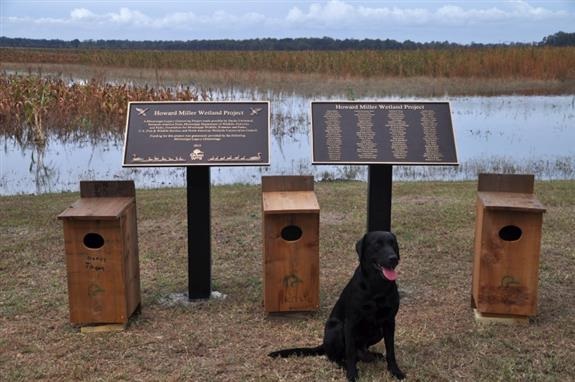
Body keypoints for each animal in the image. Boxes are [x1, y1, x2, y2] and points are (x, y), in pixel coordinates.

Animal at [268, 231, 404, 380]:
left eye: (393, 244)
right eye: (377, 245)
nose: (393, 258)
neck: (376, 287)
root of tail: (324, 343)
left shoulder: (389, 322)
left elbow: (391, 351)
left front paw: (395, 371)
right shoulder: (350, 322)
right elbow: (350, 352)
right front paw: (352, 374)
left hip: (378, 331)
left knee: (361, 350)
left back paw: (371, 355)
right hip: (337, 327)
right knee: (335, 357)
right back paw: (346, 365)